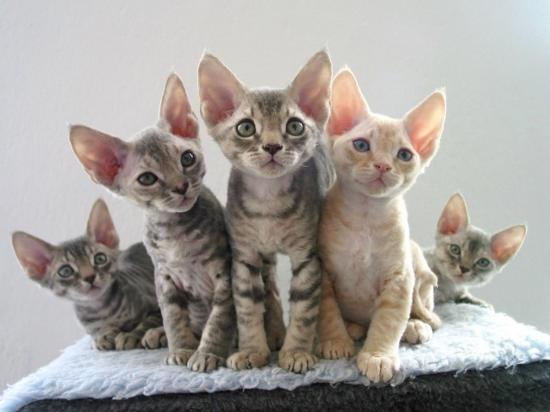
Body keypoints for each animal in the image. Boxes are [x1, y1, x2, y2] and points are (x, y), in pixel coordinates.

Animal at [11, 198, 165, 351]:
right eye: (65, 271)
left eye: (100, 258)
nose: (89, 277)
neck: (102, 311)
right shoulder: (91, 327)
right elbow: (97, 333)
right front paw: (102, 336)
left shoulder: (156, 305)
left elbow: (150, 320)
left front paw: (131, 334)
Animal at [69, 73, 236, 372]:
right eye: (147, 178)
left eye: (187, 158)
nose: (181, 187)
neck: (176, 234)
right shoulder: (164, 278)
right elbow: (173, 318)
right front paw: (181, 348)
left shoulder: (223, 273)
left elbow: (218, 318)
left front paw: (207, 353)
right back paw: (154, 334)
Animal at [198, 50, 334, 373]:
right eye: (245, 127)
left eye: (295, 126)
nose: (272, 146)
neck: (268, 206)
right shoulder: (244, 257)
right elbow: (247, 308)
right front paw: (252, 350)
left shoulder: (307, 257)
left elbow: (304, 310)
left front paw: (296, 351)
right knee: (269, 280)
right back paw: (273, 331)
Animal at [316, 68, 446, 382]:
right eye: (361, 145)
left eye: (404, 155)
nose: (383, 165)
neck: (366, 217)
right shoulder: (322, 270)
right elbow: (327, 310)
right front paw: (335, 341)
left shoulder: (398, 278)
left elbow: (389, 321)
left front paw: (378, 356)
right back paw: (352, 328)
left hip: (417, 265)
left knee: (420, 311)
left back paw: (415, 326)